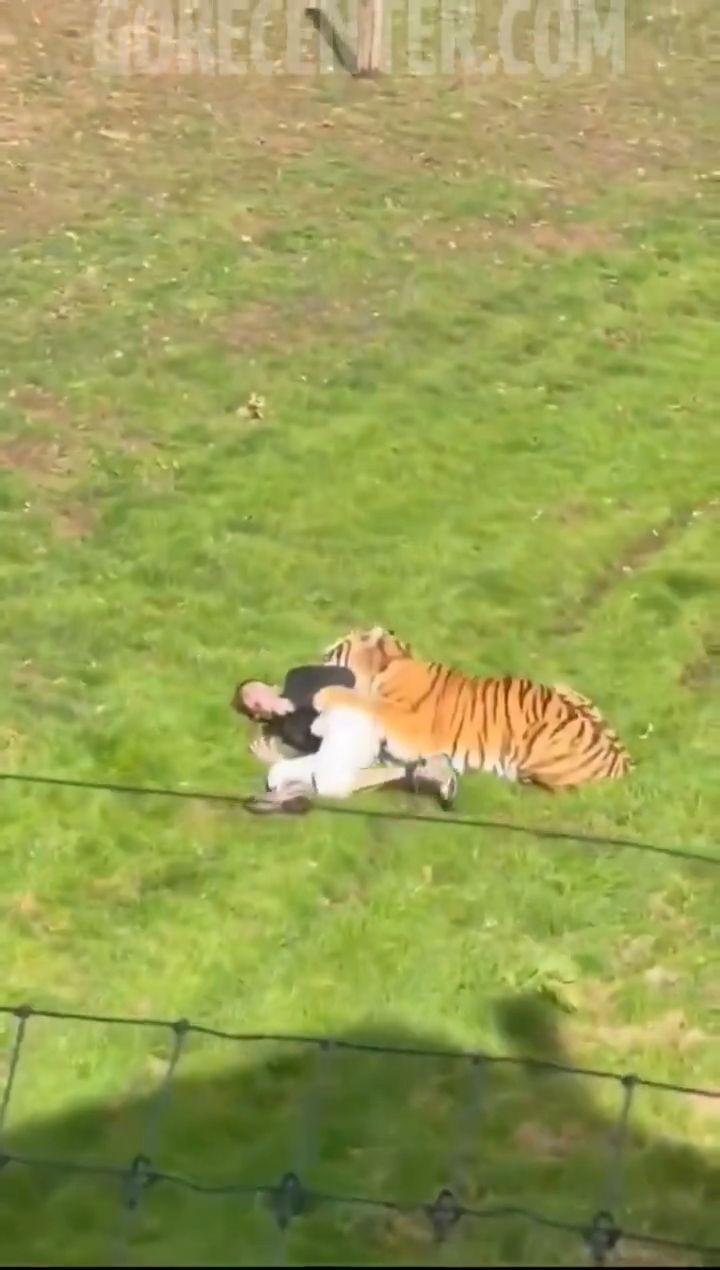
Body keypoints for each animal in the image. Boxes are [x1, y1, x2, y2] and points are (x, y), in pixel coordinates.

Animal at [312, 626, 633, 793]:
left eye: (333, 653)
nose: (316, 658)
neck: (391, 664)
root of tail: (625, 767)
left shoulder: (410, 727)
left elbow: (367, 703)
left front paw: (323, 695)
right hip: (565, 688)